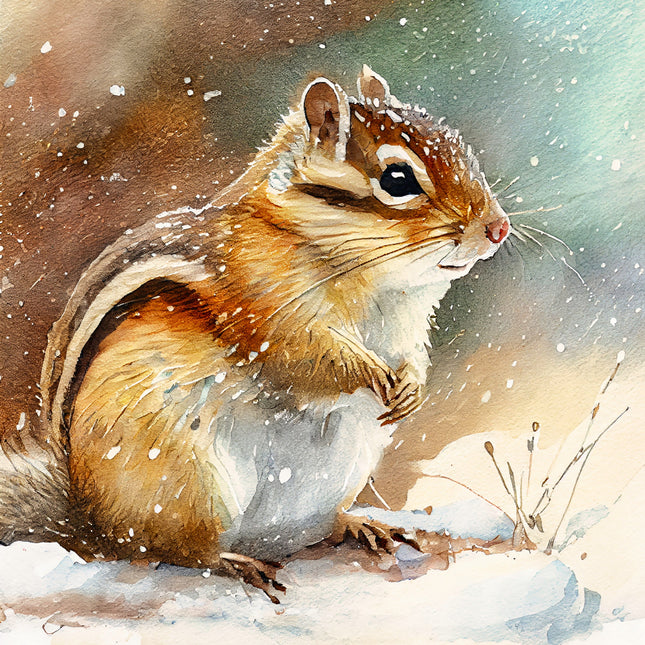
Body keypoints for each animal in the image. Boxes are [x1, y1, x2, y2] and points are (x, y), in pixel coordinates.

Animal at [1, 66, 510, 602]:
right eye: (398, 179)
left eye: (461, 148)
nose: (498, 228)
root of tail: (91, 524)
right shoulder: (267, 305)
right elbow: (309, 355)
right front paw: (373, 376)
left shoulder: (407, 330)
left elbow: (411, 356)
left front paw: (411, 389)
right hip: (189, 485)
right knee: (177, 550)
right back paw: (236, 562)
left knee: (315, 528)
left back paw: (361, 526)